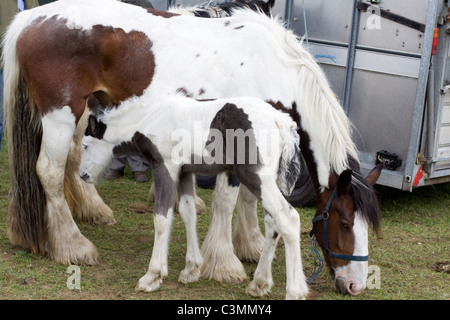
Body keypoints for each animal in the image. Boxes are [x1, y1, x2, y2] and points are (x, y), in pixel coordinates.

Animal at [79, 95, 308, 300]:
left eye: (85, 145)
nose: (83, 175)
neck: (153, 116)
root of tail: (281, 120)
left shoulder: (165, 167)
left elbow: (161, 218)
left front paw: (152, 276)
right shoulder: (184, 172)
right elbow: (188, 213)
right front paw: (191, 269)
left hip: (256, 178)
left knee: (288, 218)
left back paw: (295, 291)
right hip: (269, 181)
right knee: (272, 223)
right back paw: (259, 283)